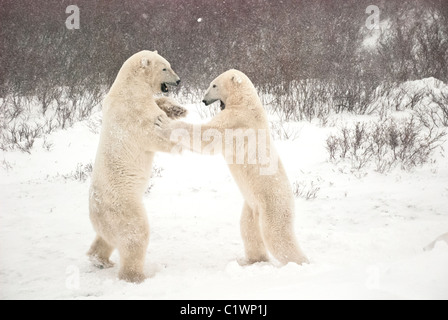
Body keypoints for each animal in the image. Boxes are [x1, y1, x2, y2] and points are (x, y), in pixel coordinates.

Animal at [87, 50, 186, 282]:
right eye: (164, 68)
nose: (178, 80)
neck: (129, 88)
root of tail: (95, 207)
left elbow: (159, 103)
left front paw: (178, 109)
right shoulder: (136, 114)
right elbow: (158, 136)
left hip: (108, 220)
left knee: (105, 239)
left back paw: (99, 260)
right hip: (124, 207)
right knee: (135, 236)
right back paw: (136, 276)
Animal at [157, 69, 308, 264]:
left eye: (214, 85)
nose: (203, 100)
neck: (245, 102)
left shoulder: (236, 120)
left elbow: (208, 135)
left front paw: (165, 123)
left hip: (273, 205)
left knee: (277, 236)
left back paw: (300, 261)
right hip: (251, 205)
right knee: (248, 229)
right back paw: (252, 260)